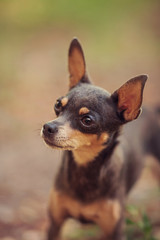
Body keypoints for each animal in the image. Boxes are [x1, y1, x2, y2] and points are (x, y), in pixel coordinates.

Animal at [41, 39, 160, 240]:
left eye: (87, 120)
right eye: (58, 105)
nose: (48, 127)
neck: (85, 167)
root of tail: (152, 109)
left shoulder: (114, 231)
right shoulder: (55, 223)